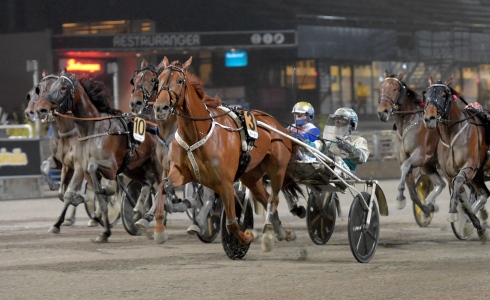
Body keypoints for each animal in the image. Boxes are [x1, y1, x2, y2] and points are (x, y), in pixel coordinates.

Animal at [37, 71, 163, 243]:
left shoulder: (109, 167)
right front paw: (105, 232)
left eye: (62, 88)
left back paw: (147, 217)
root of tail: (156, 126)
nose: (41, 109)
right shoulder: (77, 167)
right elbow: (98, 200)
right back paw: (138, 211)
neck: (91, 129)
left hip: (156, 163)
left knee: (161, 187)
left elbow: (94, 175)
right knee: (148, 182)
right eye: (40, 89)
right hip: (133, 167)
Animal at [152, 56, 302, 258]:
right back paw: (278, 232)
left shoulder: (224, 183)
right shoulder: (182, 172)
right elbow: (163, 186)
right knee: (265, 197)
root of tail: (277, 125)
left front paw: (246, 237)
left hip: (277, 169)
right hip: (250, 176)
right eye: (158, 81)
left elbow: (232, 222)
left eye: (180, 81)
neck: (197, 134)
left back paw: (272, 231)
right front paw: (159, 230)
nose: (160, 108)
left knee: (273, 199)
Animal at [378, 71, 446, 225]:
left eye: (395, 89)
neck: (408, 124)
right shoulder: (406, 158)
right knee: (441, 183)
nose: (382, 112)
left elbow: (405, 167)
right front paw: (427, 209)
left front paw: (399, 197)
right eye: (381, 88)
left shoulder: (421, 156)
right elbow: (413, 193)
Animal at [424, 75, 488, 241]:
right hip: (478, 176)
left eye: (443, 95)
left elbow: (459, 183)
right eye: (427, 94)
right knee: (485, 194)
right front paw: (475, 226)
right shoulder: (450, 174)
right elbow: (462, 198)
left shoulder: (469, 167)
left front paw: (453, 213)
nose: (429, 118)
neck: (452, 135)